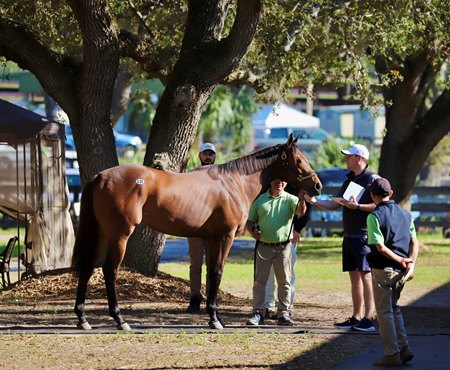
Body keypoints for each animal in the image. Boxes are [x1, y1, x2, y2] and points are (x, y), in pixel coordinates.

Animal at [72, 134, 322, 330]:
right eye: (298, 159)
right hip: (119, 235)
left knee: (87, 268)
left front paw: (213, 316)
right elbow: (218, 272)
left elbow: (210, 273)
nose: (317, 185)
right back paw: (120, 320)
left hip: (101, 233)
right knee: (110, 270)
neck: (233, 183)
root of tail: (100, 177)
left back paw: (83, 318)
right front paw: (215, 319)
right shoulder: (225, 237)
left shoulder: (211, 239)